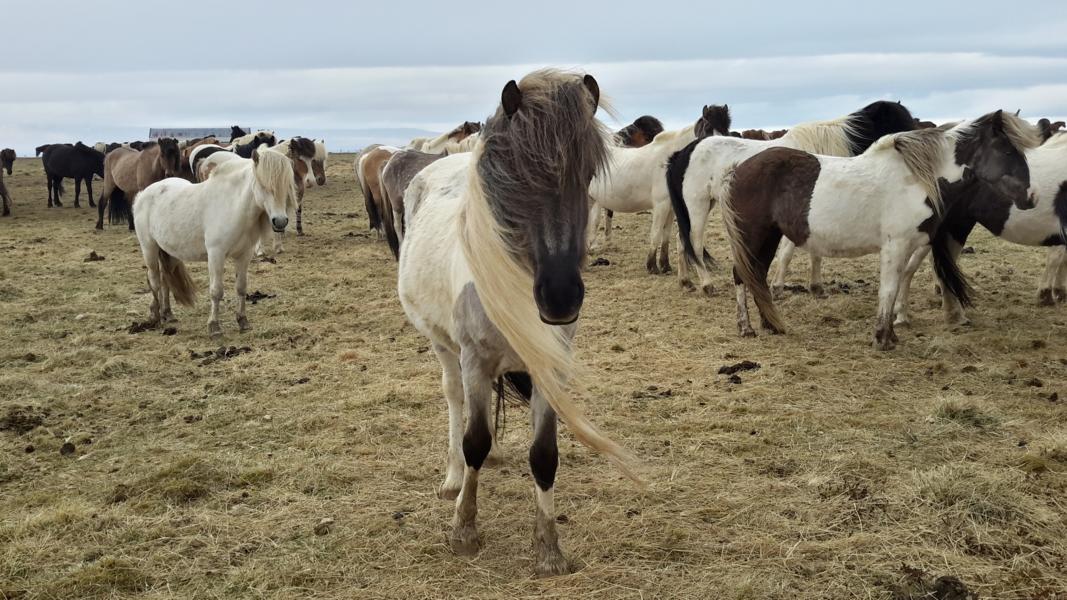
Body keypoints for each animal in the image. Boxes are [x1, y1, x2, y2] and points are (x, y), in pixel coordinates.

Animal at [136, 146, 300, 337]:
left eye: (286, 184)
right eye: (263, 184)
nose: (280, 222)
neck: (233, 205)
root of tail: (143, 194)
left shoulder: (244, 255)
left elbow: (241, 287)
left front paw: (243, 321)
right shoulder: (216, 254)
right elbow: (216, 291)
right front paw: (214, 326)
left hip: (170, 253)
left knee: (165, 280)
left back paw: (167, 314)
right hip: (149, 249)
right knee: (154, 280)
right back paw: (154, 316)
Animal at [396, 68, 635, 576]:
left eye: (588, 175)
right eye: (518, 177)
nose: (560, 297)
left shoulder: (550, 365)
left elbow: (543, 455)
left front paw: (549, 548)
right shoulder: (474, 359)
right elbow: (475, 441)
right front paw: (464, 529)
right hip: (443, 347)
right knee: (455, 403)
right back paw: (453, 478)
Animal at [584, 103, 734, 271]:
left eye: (726, 128)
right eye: (707, 127)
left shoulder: (670, 207)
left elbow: (666, 235)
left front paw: (665, 264)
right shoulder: (661, 205)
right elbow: (655, 233)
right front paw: (652, 266)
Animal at [665, 101, 917, 294]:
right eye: (899, 125)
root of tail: (684, 151)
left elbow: (815, 252)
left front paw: (816, 286)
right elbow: (787, 252)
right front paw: (777, 286)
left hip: (702, 205)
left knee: (681, 240)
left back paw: (685, 281)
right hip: (697, 205)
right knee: (695, 243)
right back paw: (707, 284)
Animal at [721, 109, 1037, 348]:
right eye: (1006, 150)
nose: (1031, 197)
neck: (916, 179)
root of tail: (737, 169)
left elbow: (895, 288)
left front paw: (891, 333)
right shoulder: (895, 245)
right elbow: (889, 289)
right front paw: (883, 338)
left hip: (769, 237)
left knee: (756, 275)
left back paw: (769, 324)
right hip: (753, 236)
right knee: (742, 275)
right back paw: (746, 327)